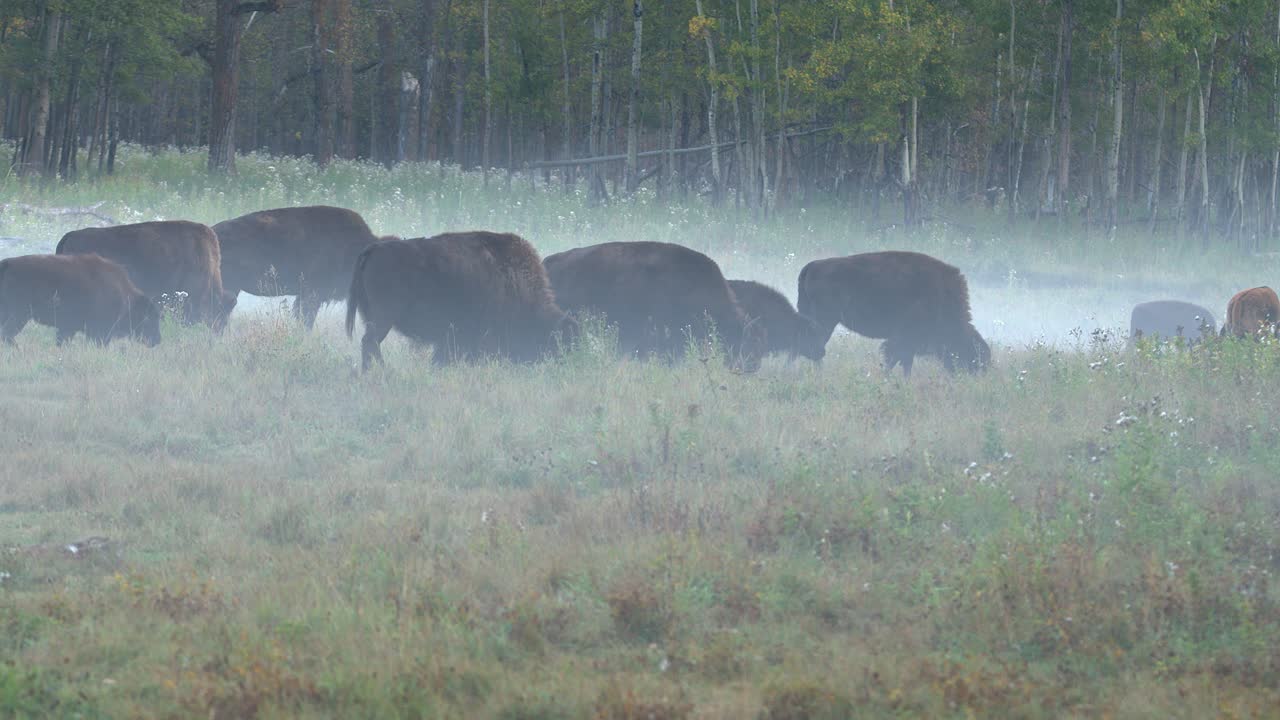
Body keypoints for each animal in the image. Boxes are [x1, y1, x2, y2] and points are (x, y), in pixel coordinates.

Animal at [0, 253, 160, 346]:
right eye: (149, 318)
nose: (157, 340)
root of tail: (6, 264)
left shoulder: (67, 328)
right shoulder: (100, 331)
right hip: (18, 316)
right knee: (7, 334)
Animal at [797, 250, 990, 376]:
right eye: (971, 355)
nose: (972, 376)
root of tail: (812, 266)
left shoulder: (908, 341)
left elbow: (904, 362)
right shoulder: (904, 338)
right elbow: (895, 359)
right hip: (825, 321)